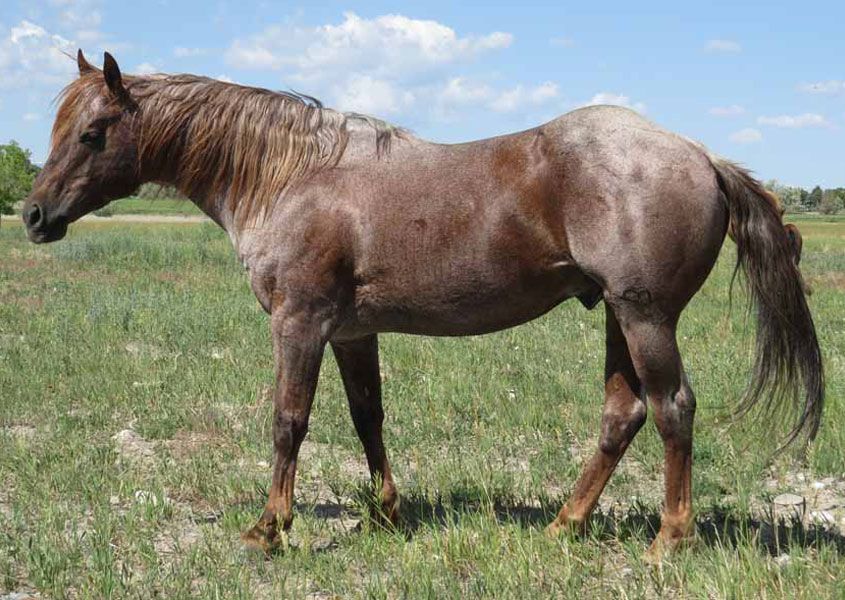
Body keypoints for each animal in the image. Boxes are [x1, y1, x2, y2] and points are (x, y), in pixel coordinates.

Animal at [23, 51, 823, 560]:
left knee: (671, 409)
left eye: (93, 133)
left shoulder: (299, 323)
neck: (293, 176)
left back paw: (667, 541)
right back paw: (565, 525)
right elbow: (367, 417)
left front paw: (268, 529)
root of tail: (701, 156)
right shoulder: (350, 332)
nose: (34, 216)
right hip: (618, 320)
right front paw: (386, 514)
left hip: (644, 315)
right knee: (621, 415)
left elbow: (288, 422)